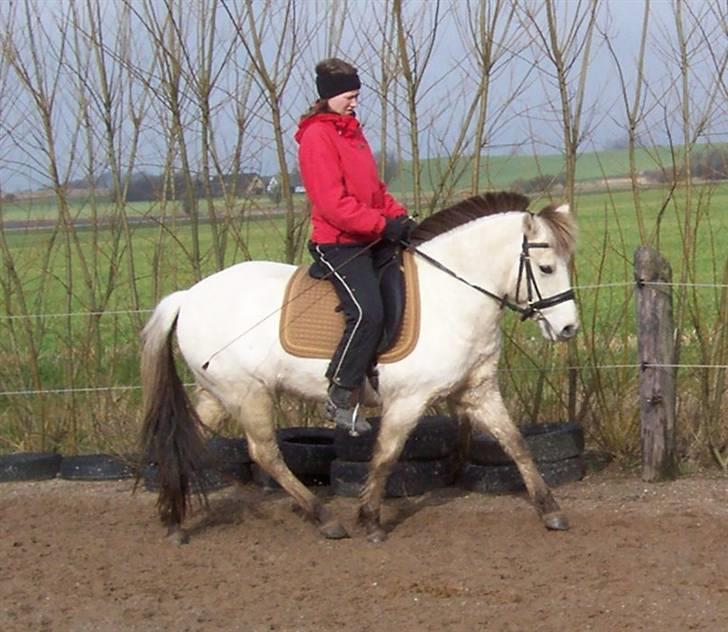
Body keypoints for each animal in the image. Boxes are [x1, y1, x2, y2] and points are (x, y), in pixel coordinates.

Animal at [139, 190, 576, 540]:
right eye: (546, 268)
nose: (568, 328)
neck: (452, 295)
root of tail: (188, 296)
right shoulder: (408, 400)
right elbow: (386, 456)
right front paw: (370, 520)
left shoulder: (477, 391)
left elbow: (517, 444)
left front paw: (551, 511)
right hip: (248, 393)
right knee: (265, 454)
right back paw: (325, 519)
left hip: (219, 393)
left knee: (182, 441)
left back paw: (174, 520)